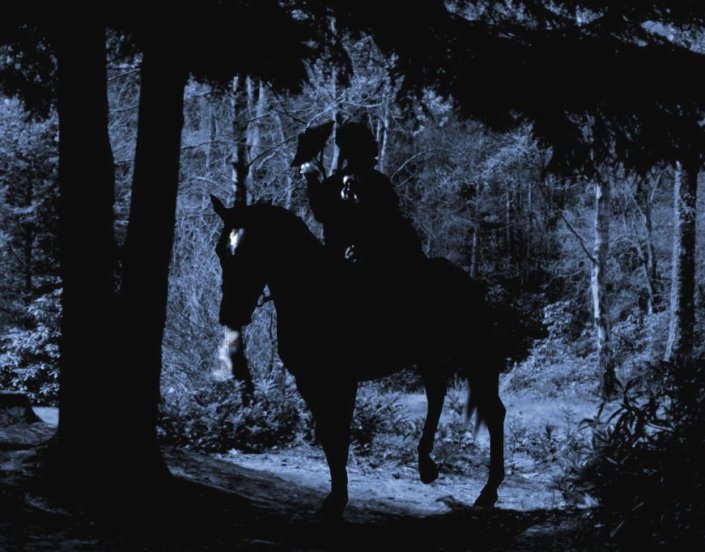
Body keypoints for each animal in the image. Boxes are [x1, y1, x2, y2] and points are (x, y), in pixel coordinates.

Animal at [210, 196, 506, 518]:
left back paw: (488, 490)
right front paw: (334, 498)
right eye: (221, 251)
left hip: (472, 352)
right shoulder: (308, 381)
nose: (230, 314)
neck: (313, 293)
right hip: (426, 354)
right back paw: (427, 466)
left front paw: (337, 500)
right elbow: (327, 434)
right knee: (437, 395)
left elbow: (339, 434)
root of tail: (463, 278)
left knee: (493, 411)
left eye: (253, 249)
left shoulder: (344, 380)